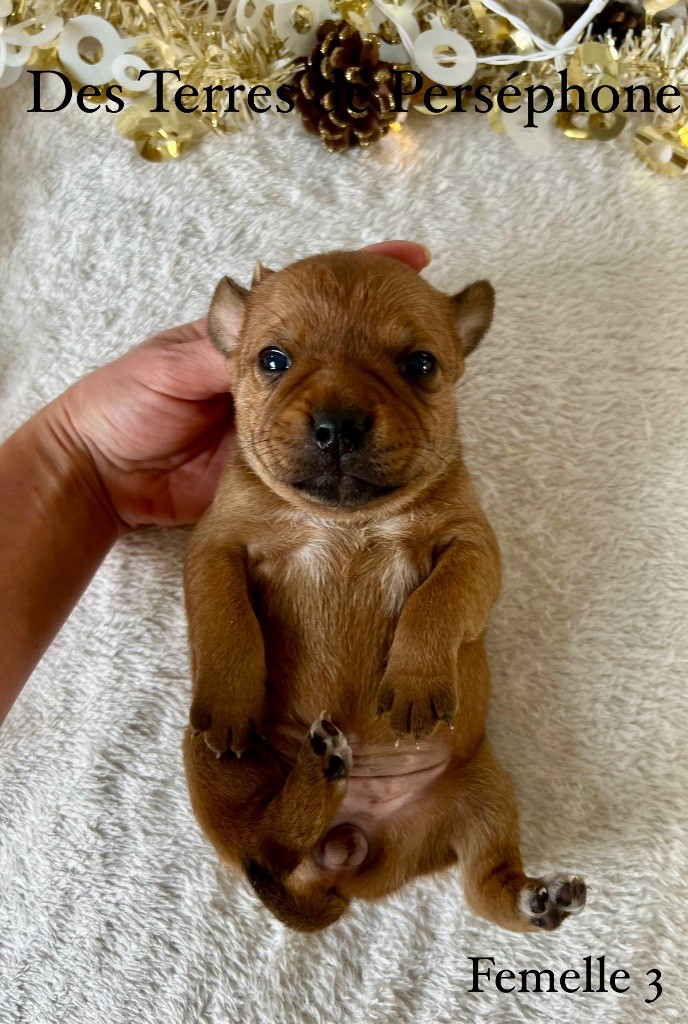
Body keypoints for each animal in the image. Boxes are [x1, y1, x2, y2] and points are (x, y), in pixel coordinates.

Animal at [182, 250, 586, 932]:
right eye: (272, 360)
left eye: (420, 365)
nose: (338, 426)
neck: (349, 520)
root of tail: (346, 856)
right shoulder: (217, 545)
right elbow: (227, 618)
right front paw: (234, 696)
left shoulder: (472, 549)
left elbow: (437, 601)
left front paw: (416, 681)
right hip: (210, 767)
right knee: (264, 843)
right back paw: (319, 771)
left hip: (483, 793)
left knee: (485, 883)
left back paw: (537, 899)